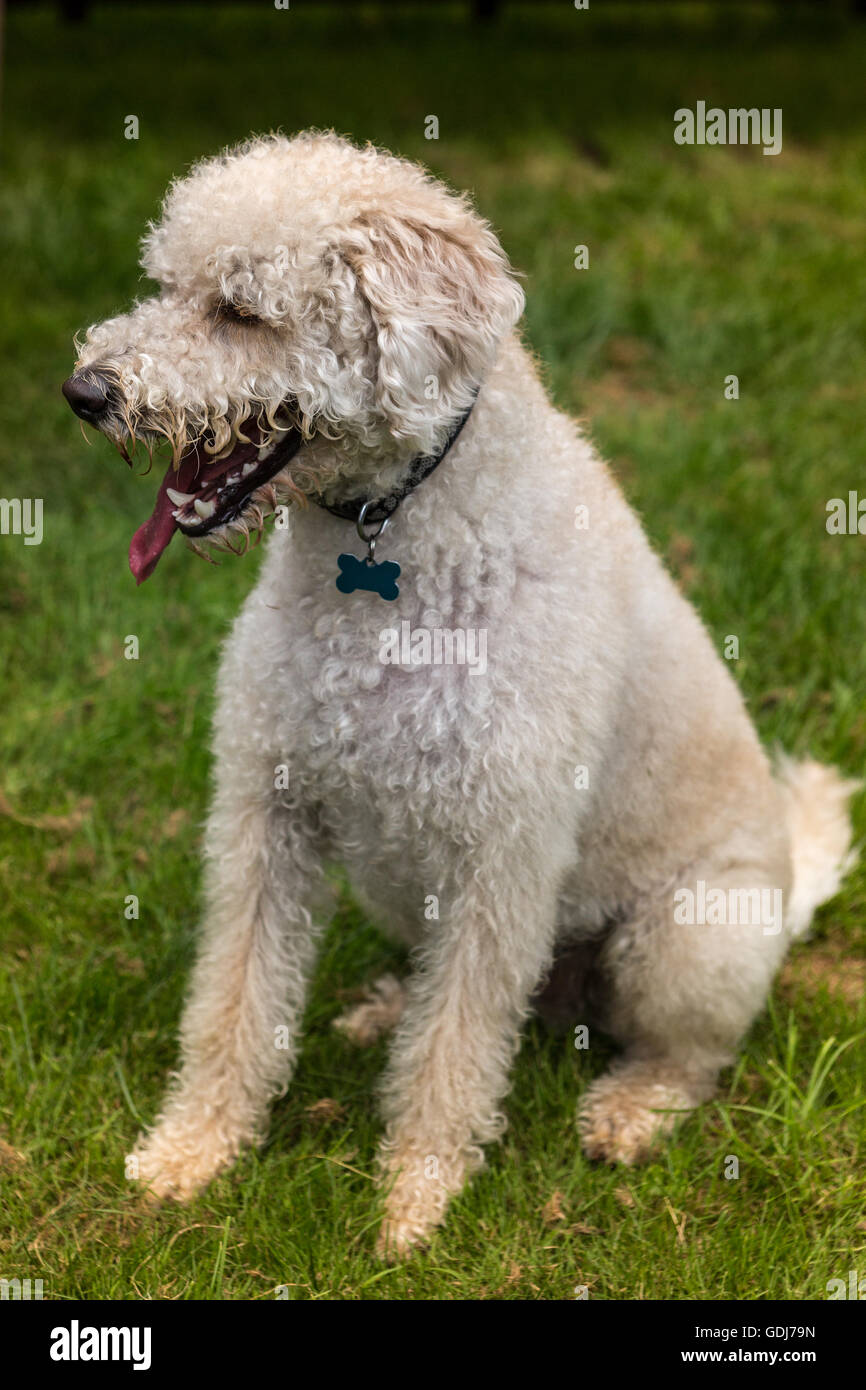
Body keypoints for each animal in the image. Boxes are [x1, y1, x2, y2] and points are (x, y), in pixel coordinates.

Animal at [64, 132, 856, 1262]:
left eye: (241, 311)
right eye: (165, 285)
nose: (85, 391)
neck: (391, 534)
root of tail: (792, 891)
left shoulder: (501, 855)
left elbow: (453, 1053)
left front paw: (414, 1203)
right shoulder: (267, 807)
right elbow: (233, 999)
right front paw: (192, 1150)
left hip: (687, 941)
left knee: (690, 1053)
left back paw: (631, 1110)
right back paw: (382, 1005)